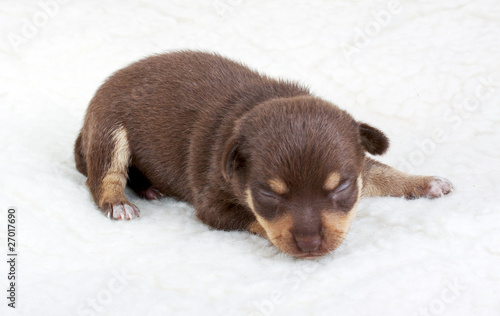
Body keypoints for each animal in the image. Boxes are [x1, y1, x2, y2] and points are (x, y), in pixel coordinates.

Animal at [75, 50, 454, 258]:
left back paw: (149, 188)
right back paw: (118, 202)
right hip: (109, 128)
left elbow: (381, 172)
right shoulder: (213, 207)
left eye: (341, 189)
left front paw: (425, 182)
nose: (310, 243)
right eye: (269, 194)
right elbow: (254, 219)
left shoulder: (358, 166)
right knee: (102, 177)